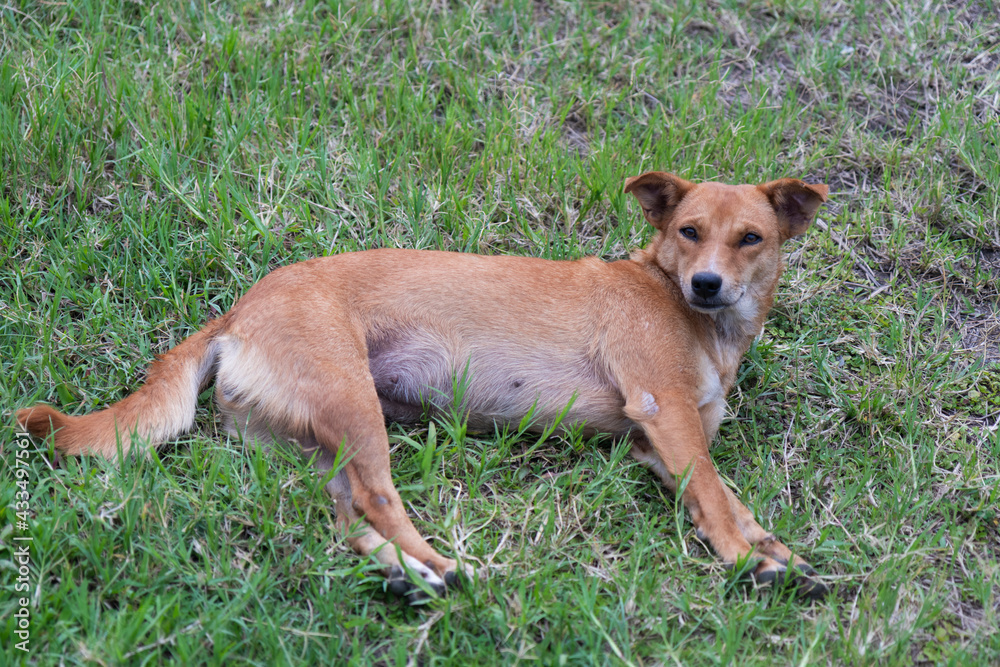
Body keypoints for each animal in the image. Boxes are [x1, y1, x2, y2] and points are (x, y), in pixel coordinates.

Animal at [15, 171, 828, 600]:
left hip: (323, 441)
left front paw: (772, 549)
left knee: (346, 520)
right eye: (689, 230)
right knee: (378, 499)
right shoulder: (666, 415)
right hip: (355, 406)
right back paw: (435, 564)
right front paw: (744, 557)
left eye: (750, 238)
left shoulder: (661, 448)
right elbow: (716, 497)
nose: (707, 284)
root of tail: (241, 308)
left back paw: (406, 573)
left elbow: (727, 495)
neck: (693, 317)